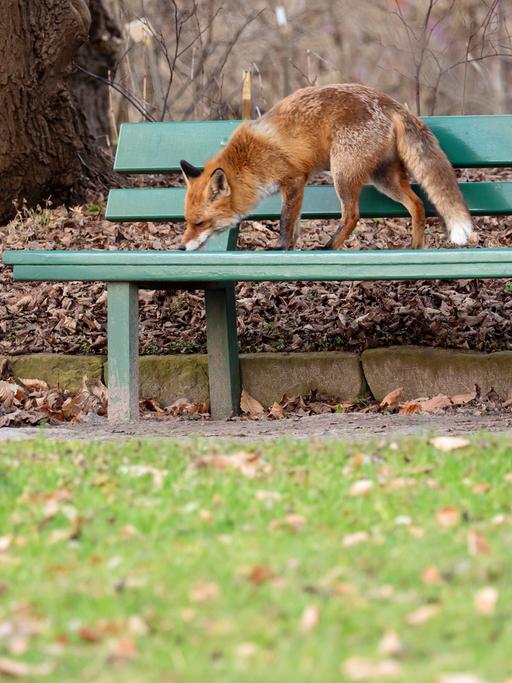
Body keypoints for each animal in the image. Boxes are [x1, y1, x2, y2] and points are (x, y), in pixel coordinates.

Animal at [179, 83, 472, 251]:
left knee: (353, 215)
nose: (181, 248)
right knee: (417, 204)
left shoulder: (293, 179)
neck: (247, 161)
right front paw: (289, 248)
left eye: (200, 223)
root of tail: (392, 103)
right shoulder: (296, 185)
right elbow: (294, 223)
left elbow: (285, 220)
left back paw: (330, 247)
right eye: (187, 222)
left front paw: (279, 247)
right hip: (383, 178)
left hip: (342, 173)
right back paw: (415, 246)